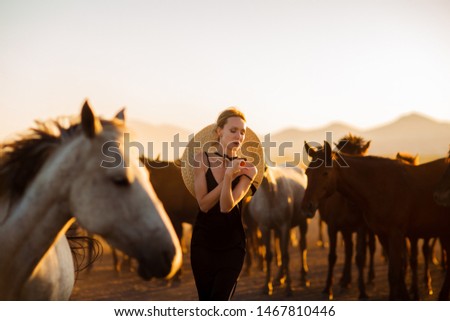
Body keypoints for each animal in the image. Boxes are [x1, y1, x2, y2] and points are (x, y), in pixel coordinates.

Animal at [246, 165, 310, 296]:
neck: (270, 193)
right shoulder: (264, 227)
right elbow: (269, 255)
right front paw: (267, 286)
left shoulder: (284, 225)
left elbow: (286, 255)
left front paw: (289, 288)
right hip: (278, 229)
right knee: (281, 248)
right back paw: (279, 278)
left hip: (302, 222)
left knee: (302, 247)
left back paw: (303, 277)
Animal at [300, 141, 450, 298]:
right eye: (307, 173)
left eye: (325, 173)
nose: (306, 207)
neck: (379, 186)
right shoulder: (382, 235)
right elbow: (397, 273)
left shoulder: (395, 234)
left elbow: (394, 274)